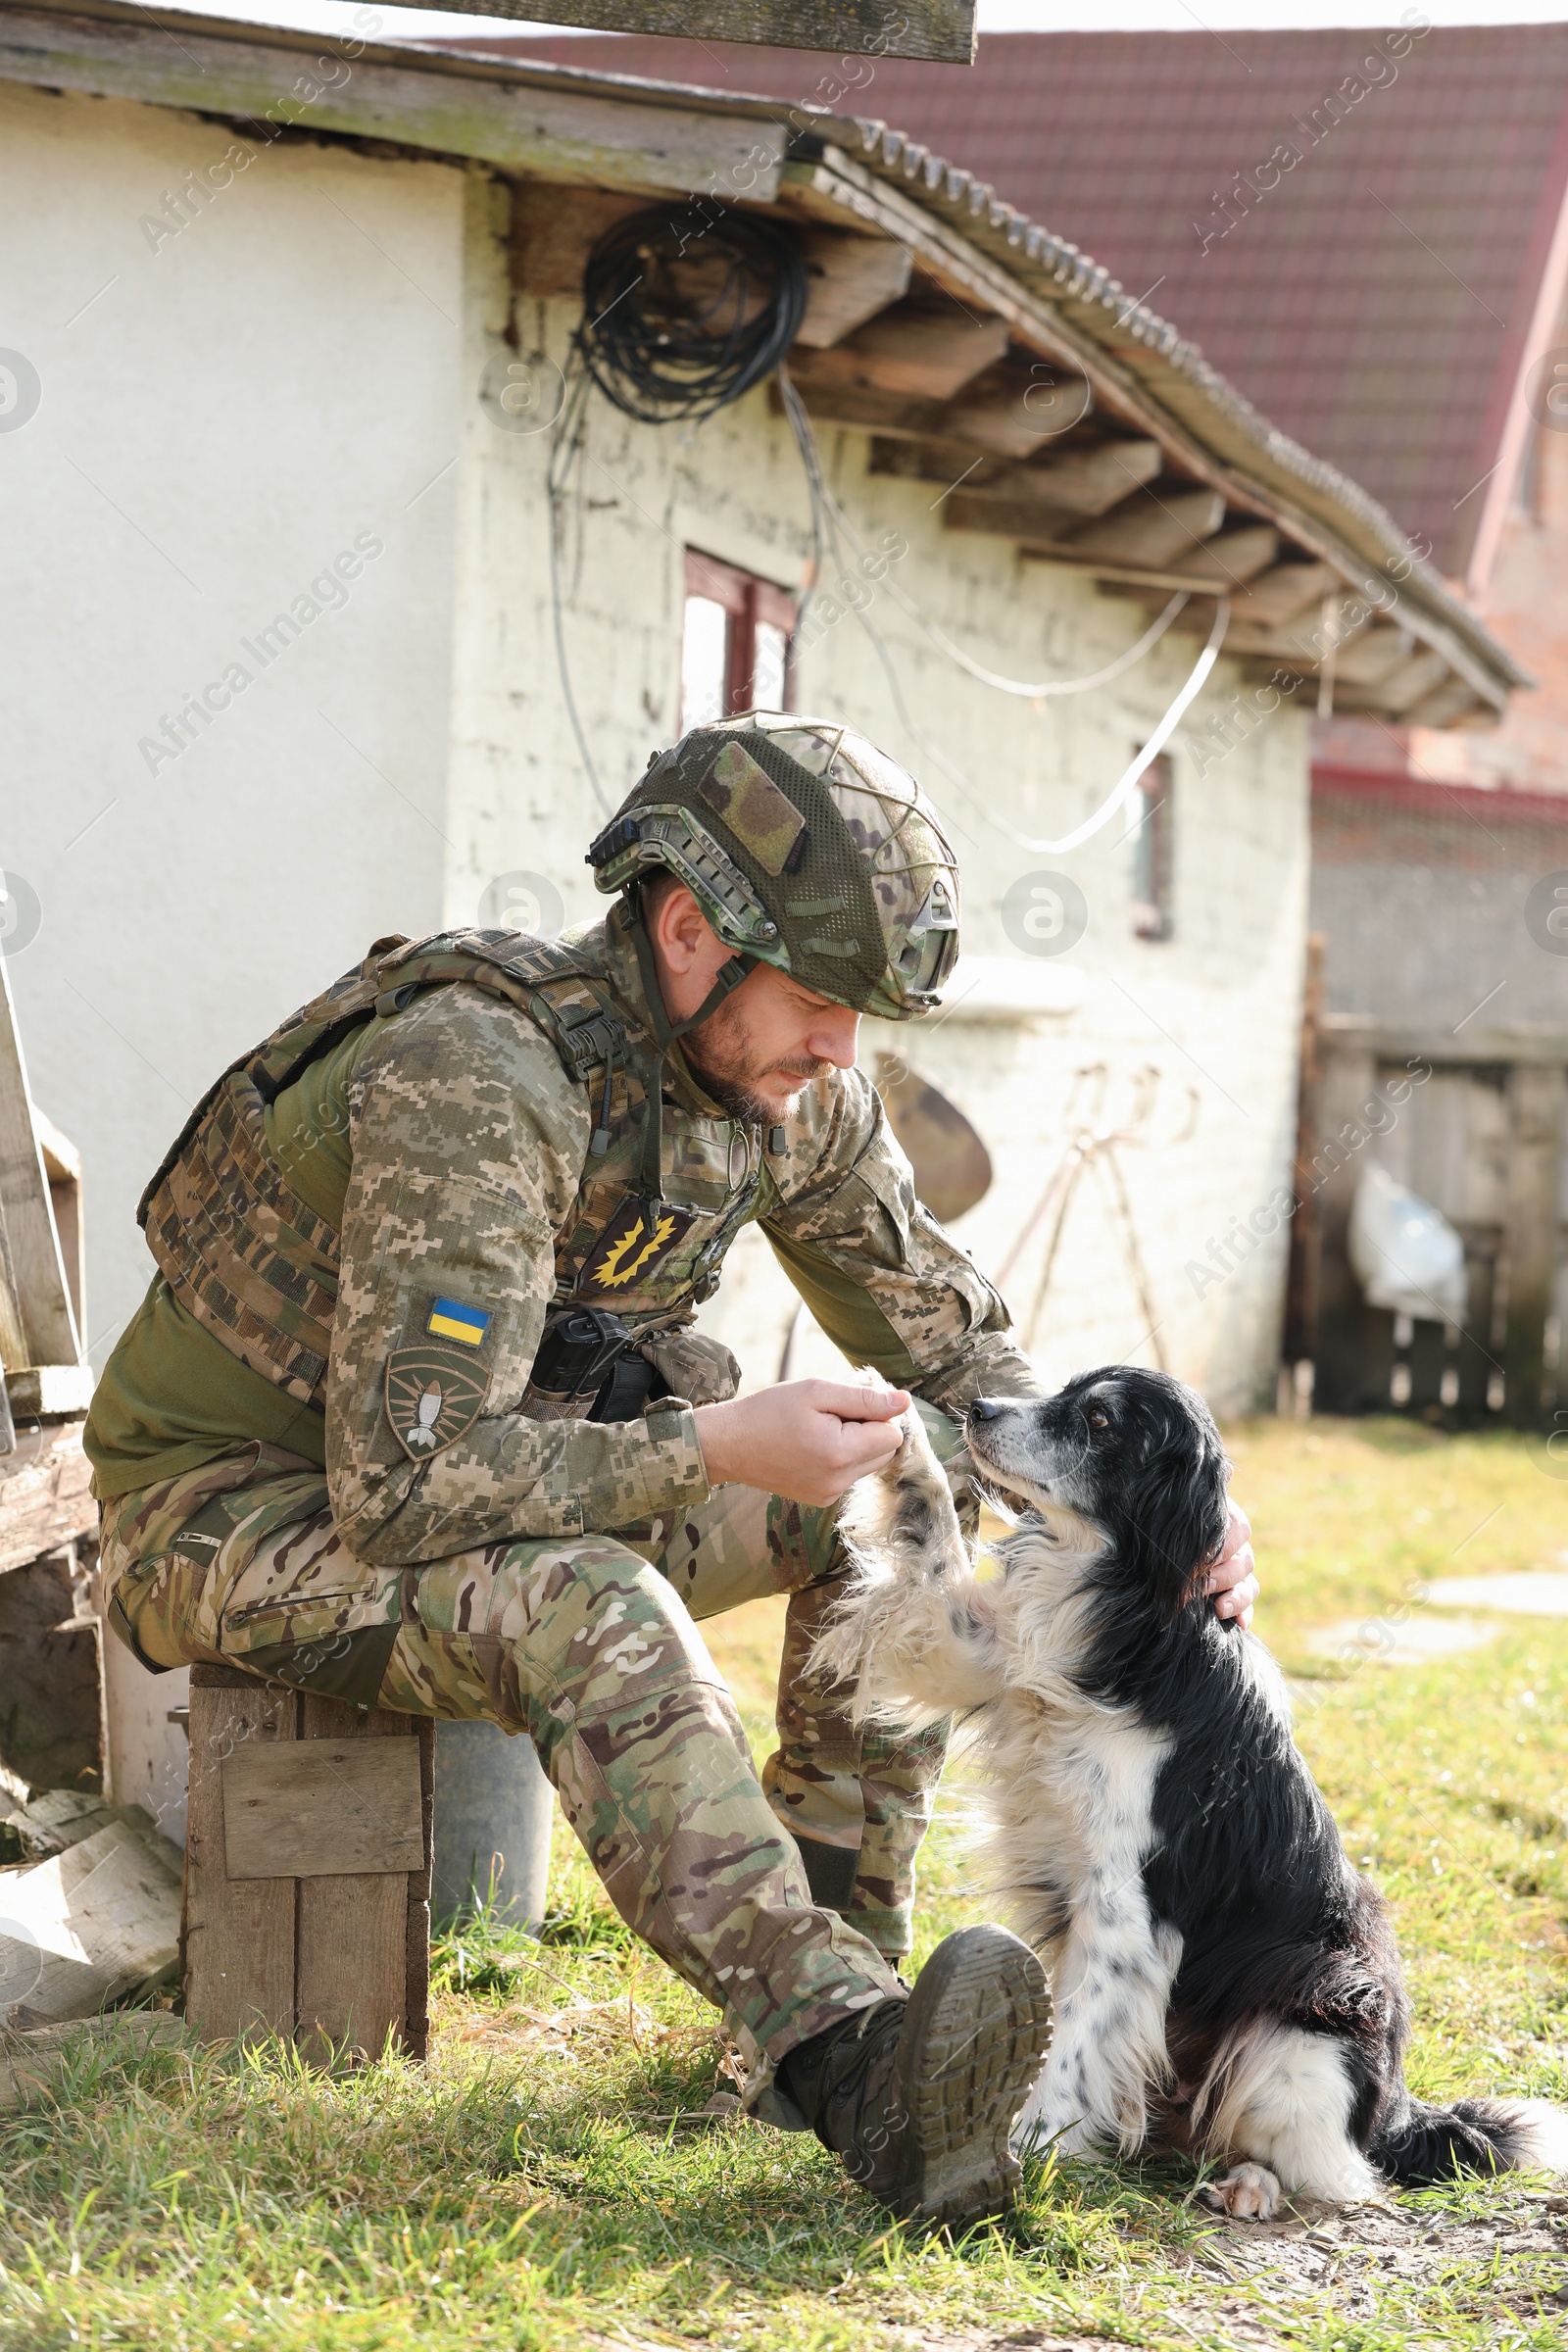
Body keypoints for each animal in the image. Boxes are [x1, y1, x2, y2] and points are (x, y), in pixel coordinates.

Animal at [817, 1373, 1568, 2211]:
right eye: (1064, 1388)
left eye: (1100, 1419)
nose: (978, 1408)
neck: (1125, 1603)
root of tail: (1402, 2113)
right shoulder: (967, 1647)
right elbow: (934, 1541)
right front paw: (895, 1433)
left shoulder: (1127, 1913)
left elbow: (1074, 2043)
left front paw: (1024, 2146)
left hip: (1312, 2015)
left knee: (1336, 2170)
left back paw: (1252, 2185)